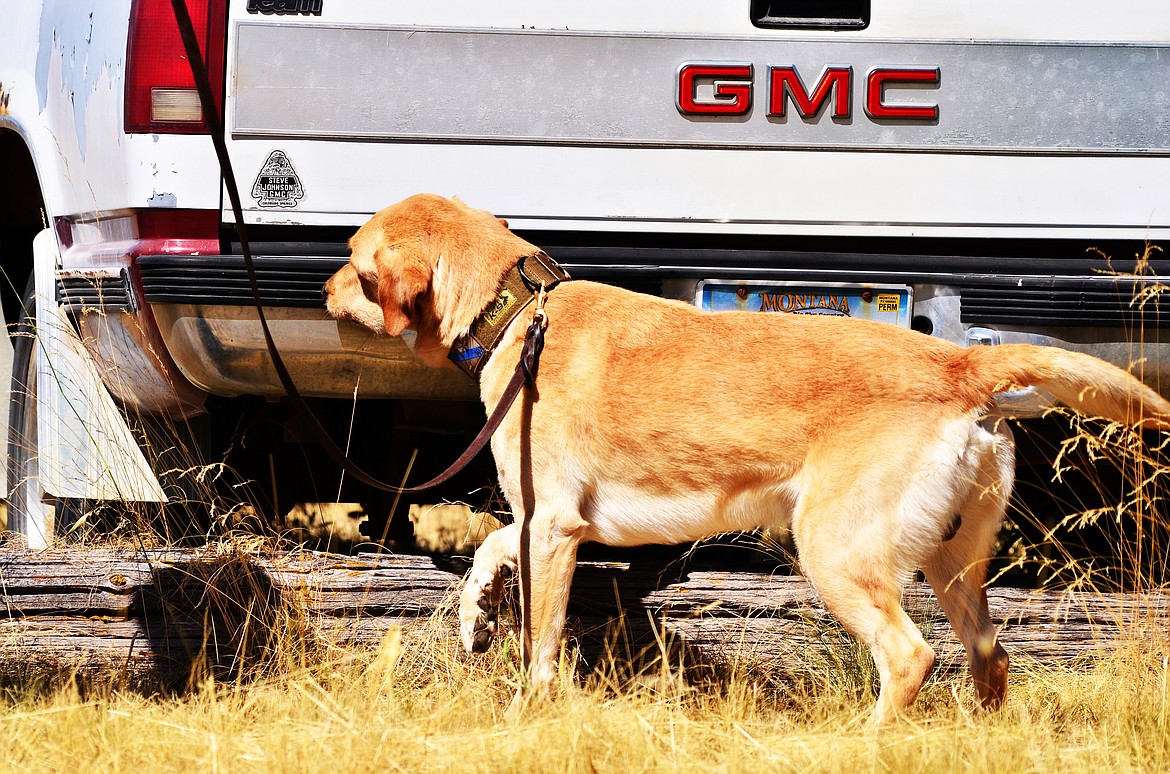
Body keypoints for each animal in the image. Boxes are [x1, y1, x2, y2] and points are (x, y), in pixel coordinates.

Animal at [325, 192, 1170, 720]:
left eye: (355, 260)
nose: (328, 291)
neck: (516, 313)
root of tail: (961, 364)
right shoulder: (543, 520)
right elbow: (489, 552)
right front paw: (475, 617)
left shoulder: (556, 527)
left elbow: (540, 643)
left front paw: (528, 710)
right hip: (952, 561)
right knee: (992, 659)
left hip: (836, 552)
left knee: (910, 657)